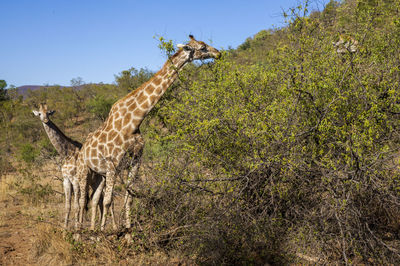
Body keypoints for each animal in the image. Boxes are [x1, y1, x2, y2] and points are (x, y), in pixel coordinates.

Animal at [76, 34, 222, 231]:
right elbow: (108, 202)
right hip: (85, 170)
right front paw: (106, 235)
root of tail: (82, 149)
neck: (134, 122)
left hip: (100, 174)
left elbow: (129, 199)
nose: (218, 53)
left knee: (93, 199)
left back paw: (91, 231)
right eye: (202, 47)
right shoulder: (113, 164)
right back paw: (78, 233)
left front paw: (127, 233)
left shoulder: (136, 161)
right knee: (82, 200)